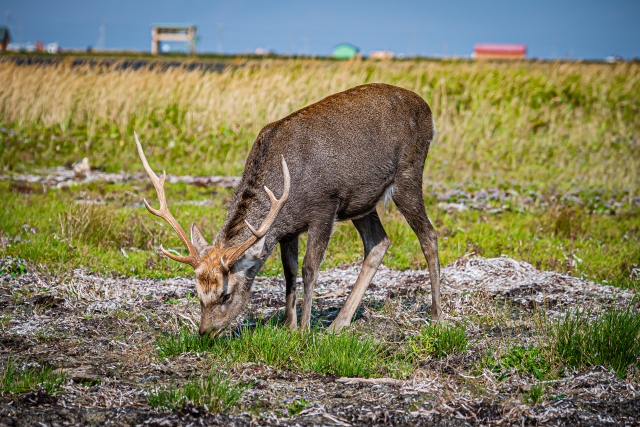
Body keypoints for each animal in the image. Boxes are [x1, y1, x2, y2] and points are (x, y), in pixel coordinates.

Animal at [135, 83, 442, 338]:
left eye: (226, 295)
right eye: (198, 293)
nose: (205, 332)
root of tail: (428, 111)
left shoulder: (324, 207)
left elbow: (309, 268)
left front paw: (304, 329)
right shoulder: (288, 228)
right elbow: (289, 271)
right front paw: (289, 325)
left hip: (407, 174)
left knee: (429, 235)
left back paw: (437, 314)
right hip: (361, 201)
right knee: (379, 242)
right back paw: (338, 323)